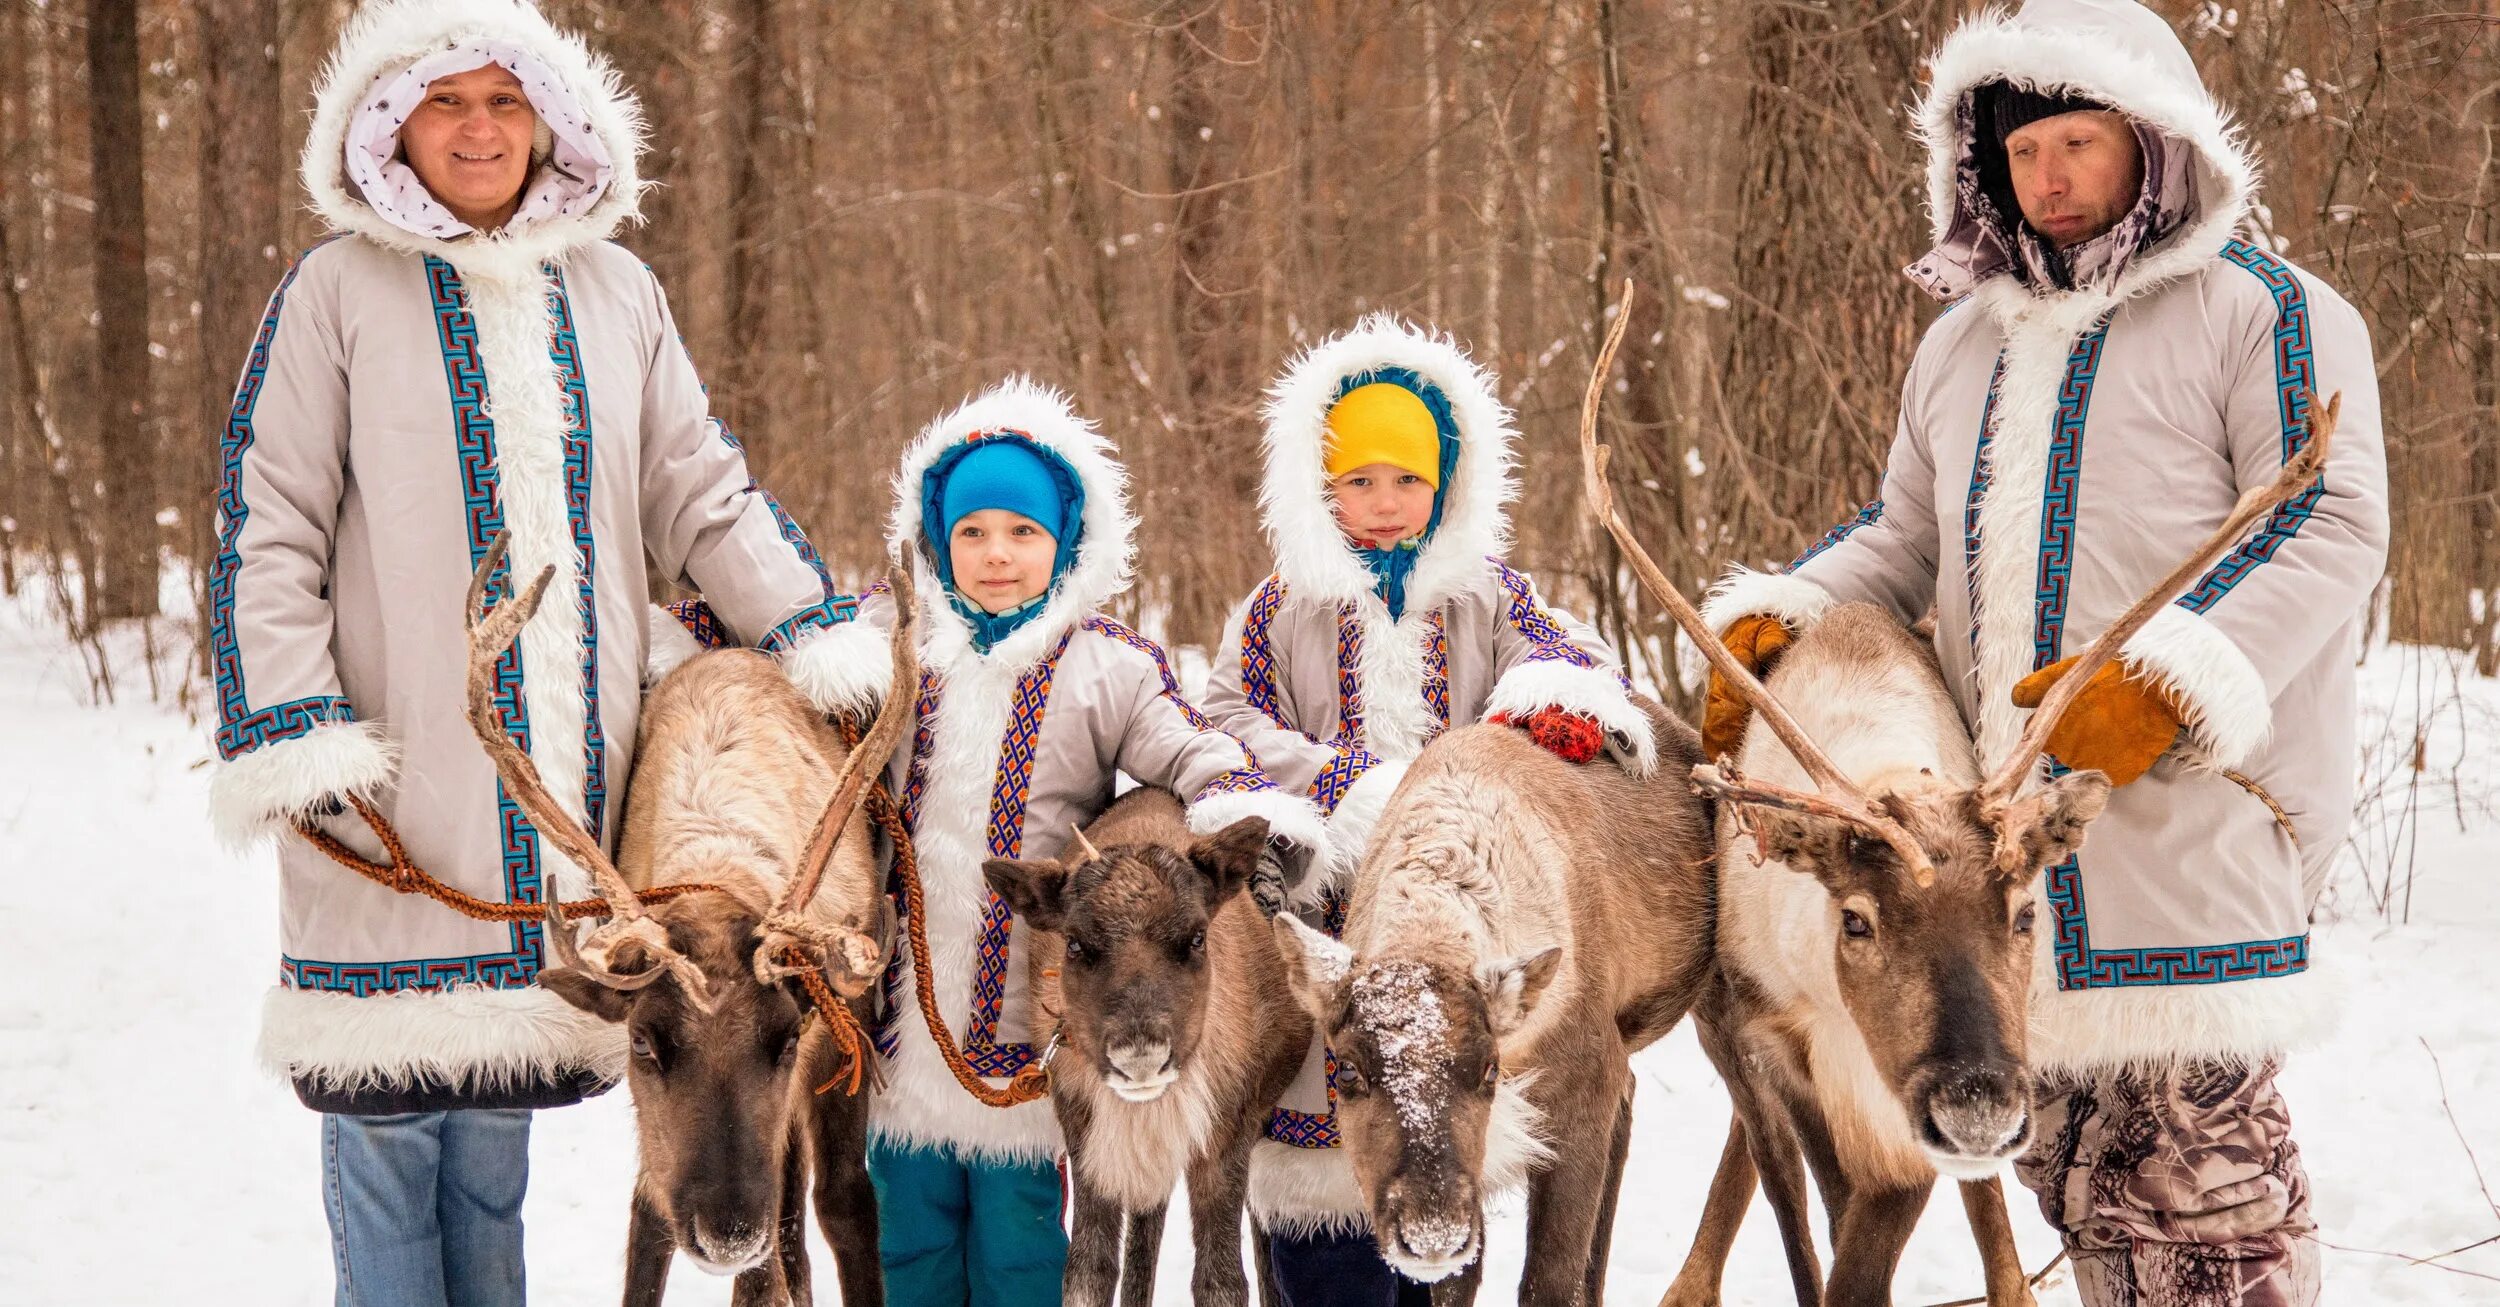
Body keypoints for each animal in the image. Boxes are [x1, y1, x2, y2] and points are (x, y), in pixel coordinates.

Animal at [980, 789, 1310, 1307]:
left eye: (1197, 936)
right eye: (1074, 943)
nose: (1140, 1058)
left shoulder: (1229, 1131)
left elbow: (1221, 1280)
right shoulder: (1086, 1133)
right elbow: (1087, 1269)